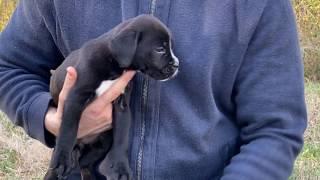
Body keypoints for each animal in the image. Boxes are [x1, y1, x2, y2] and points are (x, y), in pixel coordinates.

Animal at [44, 15, 179, 180]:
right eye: (159, 49)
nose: (177, 65)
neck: (113, 65)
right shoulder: (75, 99)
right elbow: (68, 130)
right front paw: (62, 160)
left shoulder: (122, 105)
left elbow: (122, 136)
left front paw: (120, 168)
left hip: (102, 144)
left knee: (84, 163)